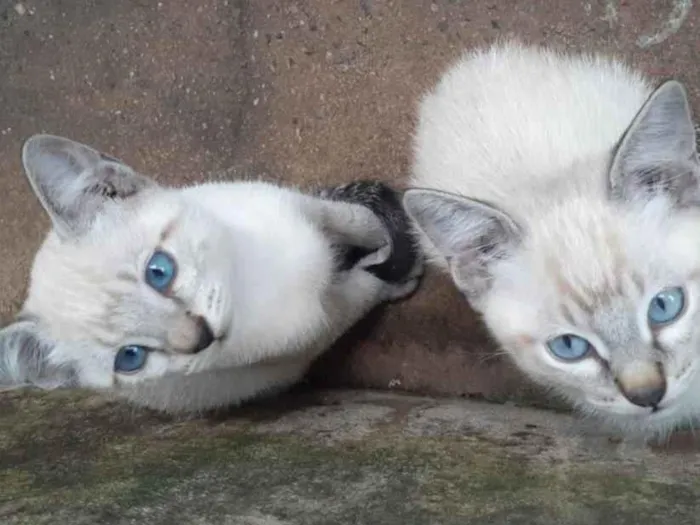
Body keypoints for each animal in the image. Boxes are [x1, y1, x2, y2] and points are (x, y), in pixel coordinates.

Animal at [0, 135, 422, 414]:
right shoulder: (315, 328)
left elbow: (353, 220)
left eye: (159, 271)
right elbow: (359, 294)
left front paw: (389, 240)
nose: (198, 338)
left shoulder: (296, 206)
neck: (248, 280)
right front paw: (391, 275)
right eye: (130, 357)